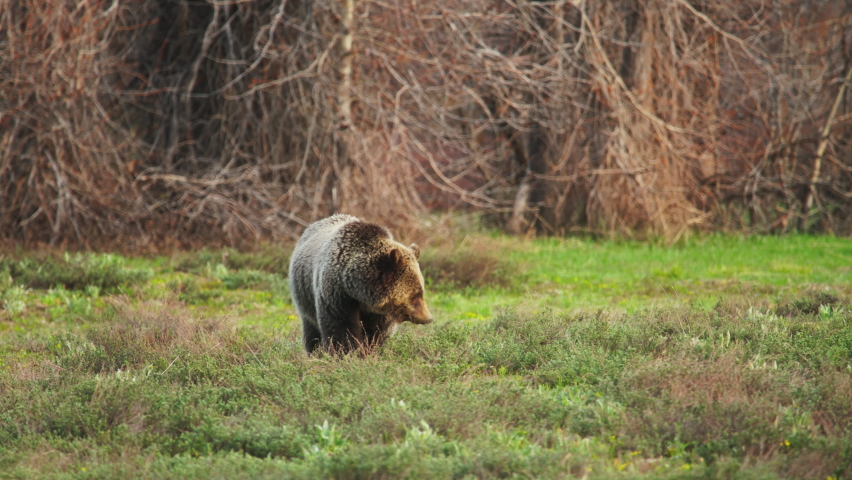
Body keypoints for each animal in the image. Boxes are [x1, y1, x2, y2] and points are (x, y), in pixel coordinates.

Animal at [288, 214, 433, 354]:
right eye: (416, 295)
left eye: (421, 291)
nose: (428, 318)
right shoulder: (336, 295)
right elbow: (342, 328)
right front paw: (349, 353)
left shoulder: (378, 311)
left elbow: (376, 332)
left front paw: (370, 350)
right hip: (304, 294)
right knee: (311, 329)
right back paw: (315, 351)